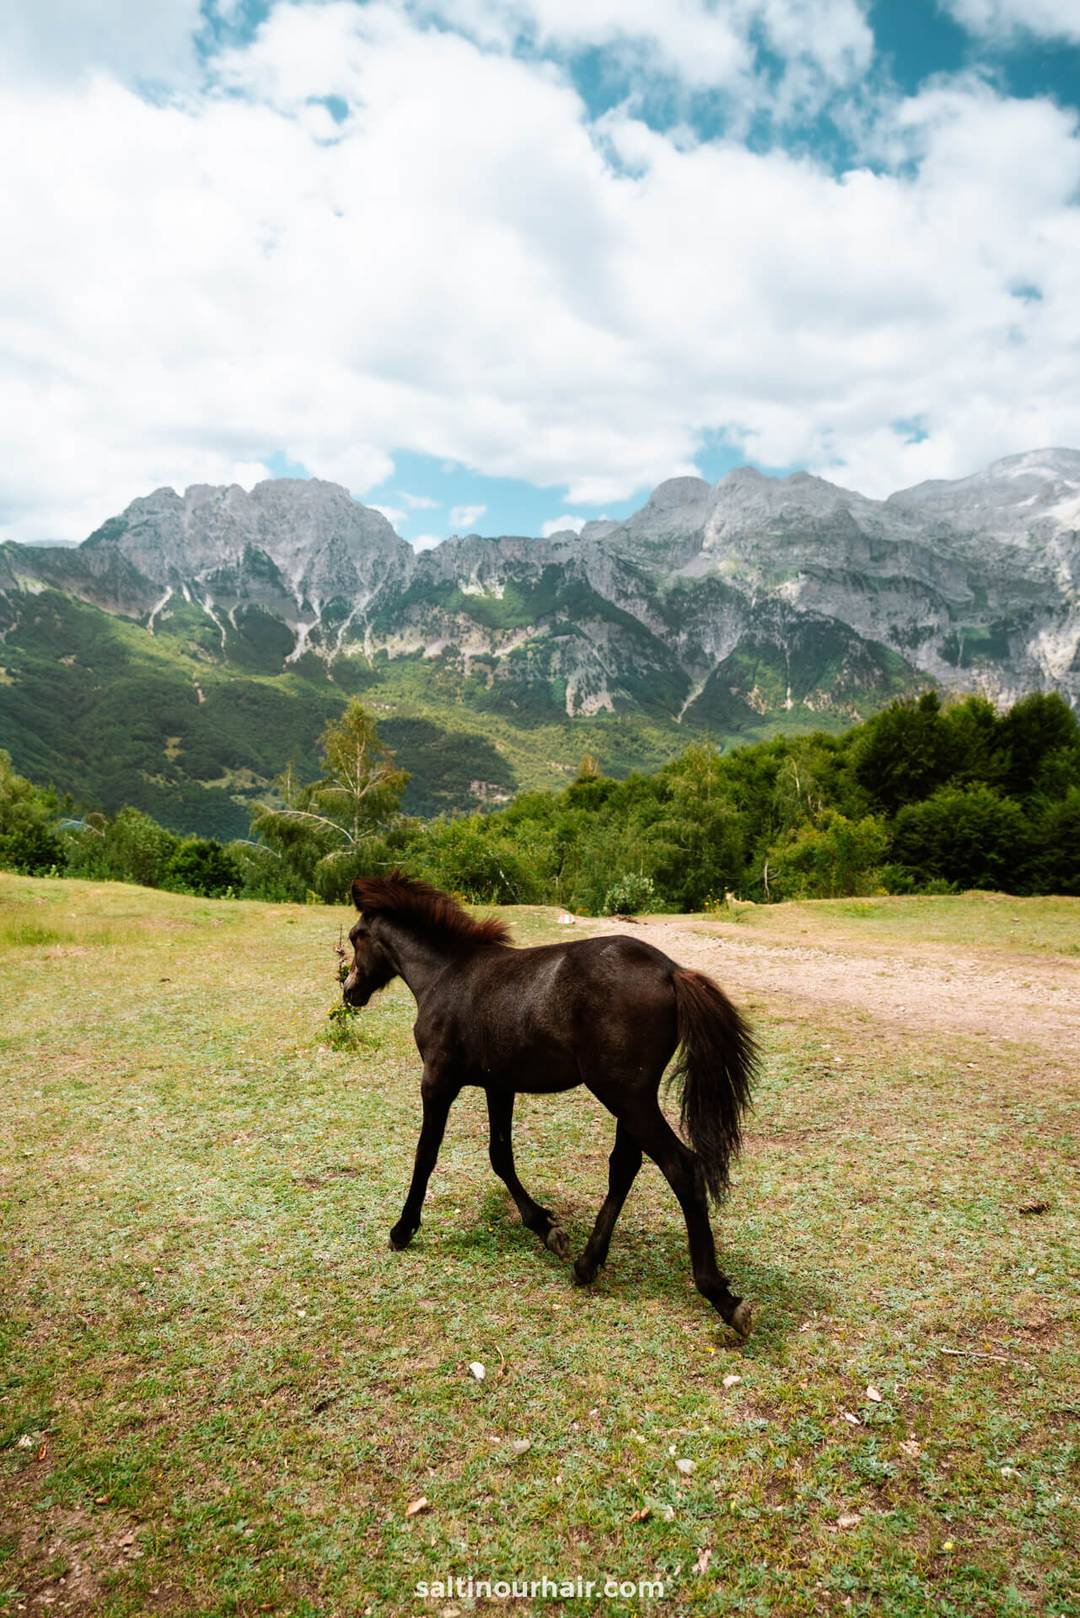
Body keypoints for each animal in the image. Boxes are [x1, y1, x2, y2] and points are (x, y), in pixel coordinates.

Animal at [342, 871, 758, 1335]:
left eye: (355, 936)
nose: (349, 991)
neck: (445, 975)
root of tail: (671, 972)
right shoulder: (499, 1085)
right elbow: (500, 1156)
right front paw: (545, 1227)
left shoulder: (437, 1082)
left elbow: (425, 1155)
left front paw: (403, 1228)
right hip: (631, 1098)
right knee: (624, 1167)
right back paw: (587, 1263)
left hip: (624, 1096)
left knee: (681, 1167)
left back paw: (721, 1297)